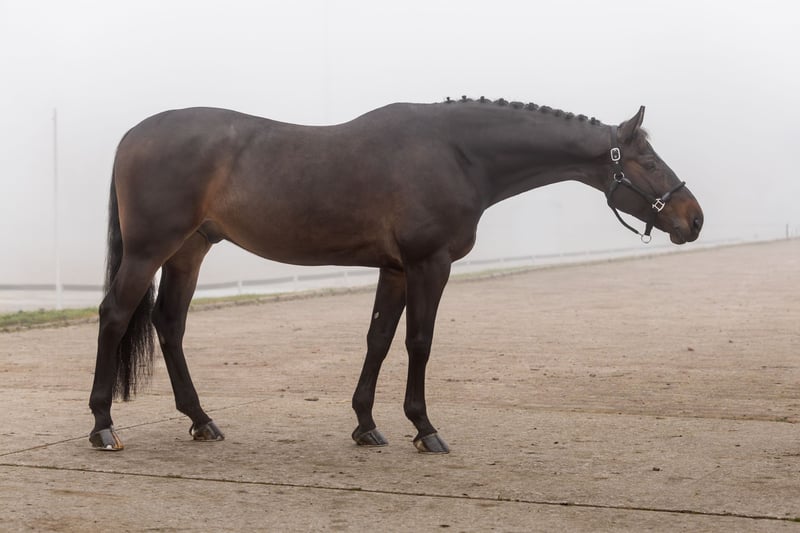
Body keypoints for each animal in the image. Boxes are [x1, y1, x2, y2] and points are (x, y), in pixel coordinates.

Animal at [88, 96, 703, 453]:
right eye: (649, 162)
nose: (693, 218)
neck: (457, 152)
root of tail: (131, 135)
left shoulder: (395, 270)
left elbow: (380, 339)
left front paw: (366, 425)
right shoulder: (429, 264)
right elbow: (419, 342)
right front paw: (424, 428)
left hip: (189, 250)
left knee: (170, 325)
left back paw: (201, 420)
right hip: (149, 250)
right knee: (115, 315)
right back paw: (102, 425)